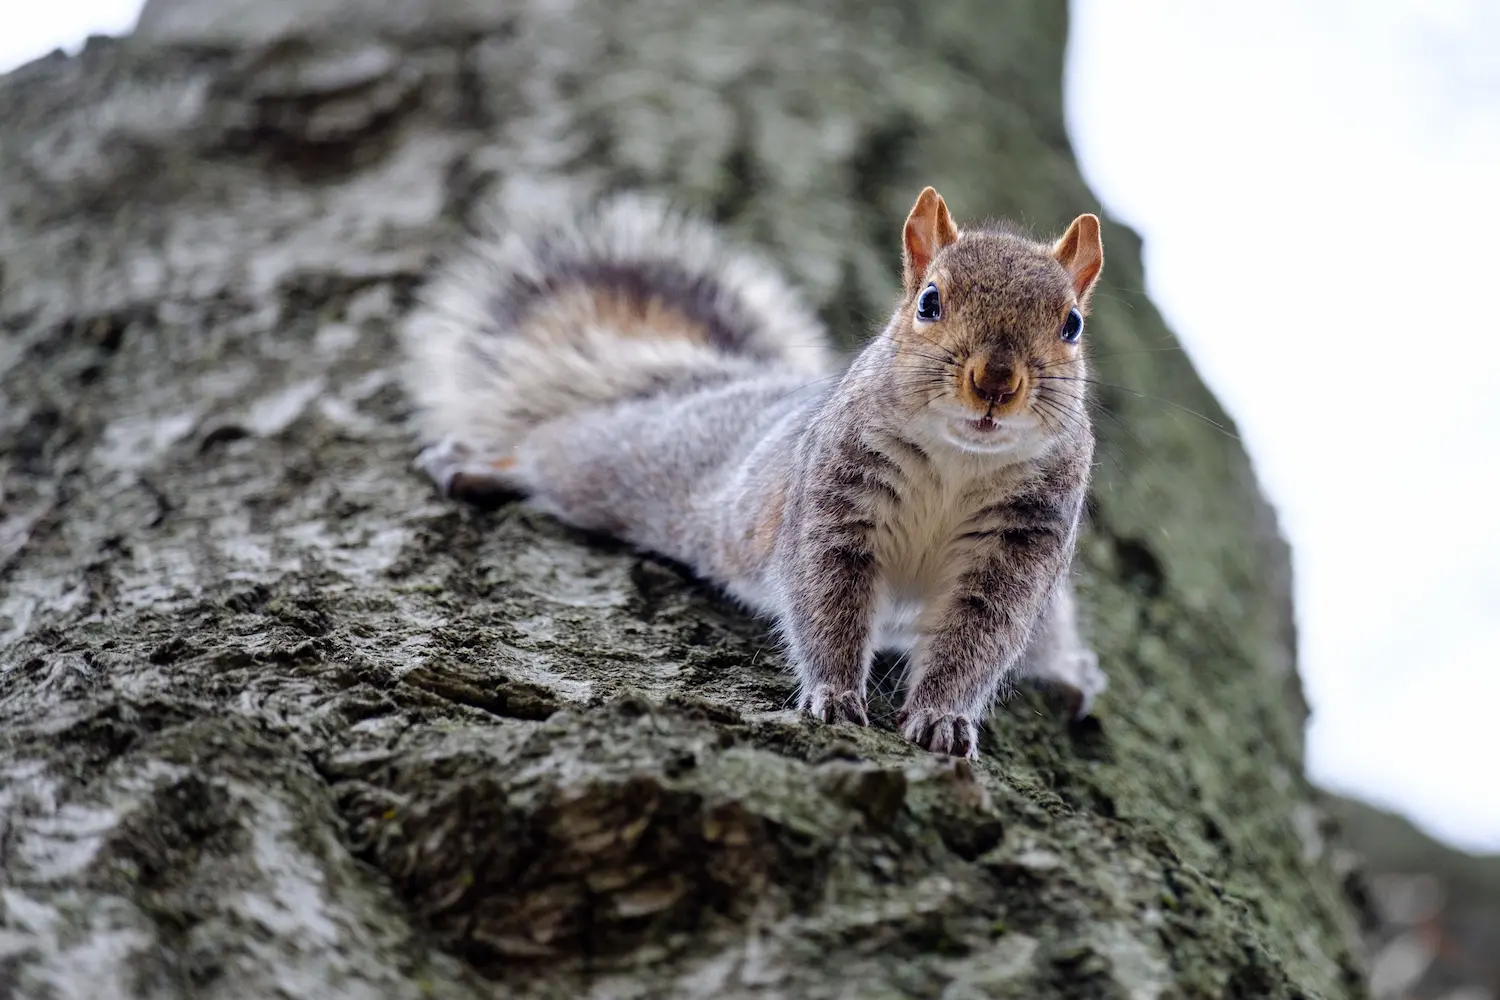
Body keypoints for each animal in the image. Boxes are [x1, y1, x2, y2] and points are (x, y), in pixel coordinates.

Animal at [400, 181, 1108, 760]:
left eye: (1072, 324)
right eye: (929, 302)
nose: (996, 383)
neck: (961, 460)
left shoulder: (1020, 545)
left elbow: (977, 640)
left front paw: (941, 718)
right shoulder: (835, 503)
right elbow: (828, 602)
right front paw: (834, 696)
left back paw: (1070, 673)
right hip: (621, 460)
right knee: (551, 448)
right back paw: (482, 465)